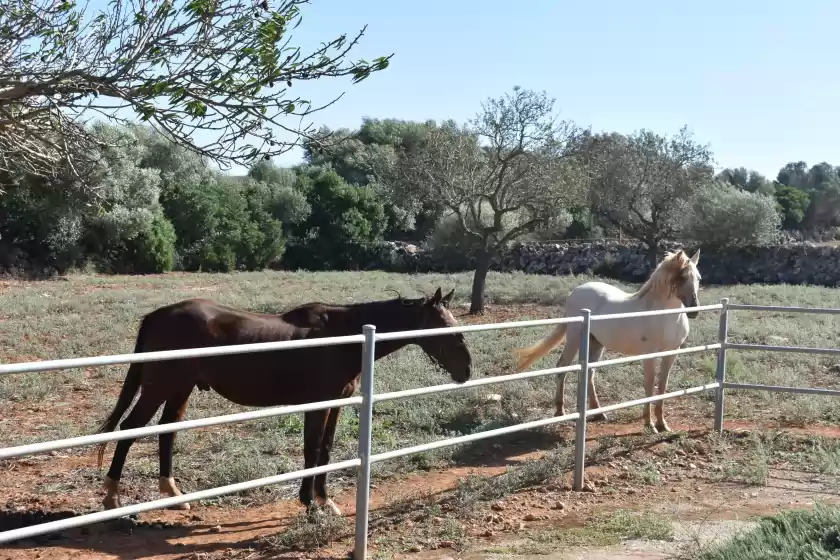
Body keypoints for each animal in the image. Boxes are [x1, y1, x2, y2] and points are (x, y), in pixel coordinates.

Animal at [97, 288, 472, 516]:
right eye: (443, 328)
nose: (467, 370)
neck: (342, 337)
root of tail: (157, 315)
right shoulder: (317, 405)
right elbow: (311, 452)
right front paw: (309, 504)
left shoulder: (336, 404)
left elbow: (325, 451)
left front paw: (325, 500)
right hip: (159, 387)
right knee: (129, 430)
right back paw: (112, 497)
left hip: (180, 388)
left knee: (167, 431)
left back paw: (173, 495)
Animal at [516, 249, 700, 434]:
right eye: (682, 277)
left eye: (698, 278)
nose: (694, 311)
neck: (662, 315)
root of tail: (576, 291)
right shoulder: (649, 354)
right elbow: (649, 386)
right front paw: (649, 424)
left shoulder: (672, 353)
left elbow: (662, 387)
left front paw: (663, 424)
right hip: (574, 339)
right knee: (562, 367)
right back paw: (560, 411)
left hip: (596, 343)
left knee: (589, 373)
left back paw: (598, 412)